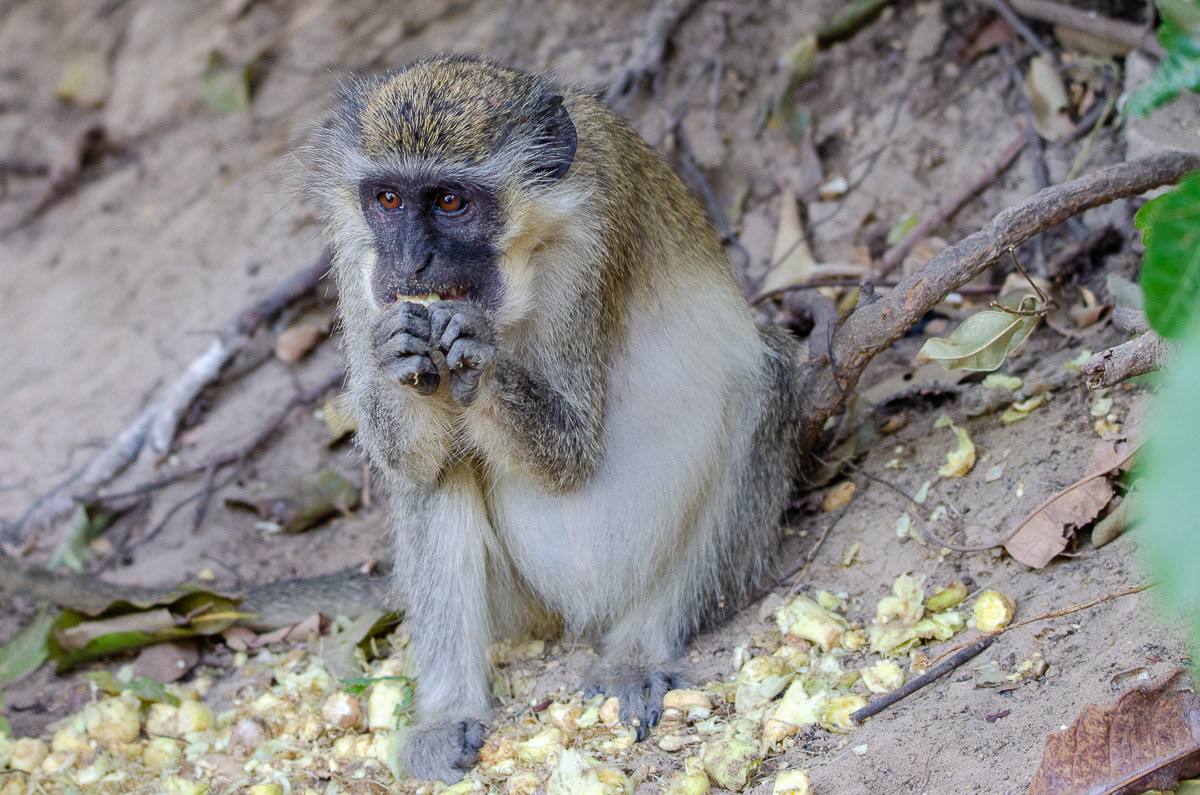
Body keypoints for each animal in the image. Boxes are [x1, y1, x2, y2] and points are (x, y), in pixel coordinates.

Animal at [306, 55, 804, 784]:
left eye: (451, 202)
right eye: (389, 200)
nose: (411, 262)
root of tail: (577, 617)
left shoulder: (597, 229)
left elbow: (573, 453)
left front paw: (474, 350)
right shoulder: (356, 255)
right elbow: (413, 460)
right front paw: (402, 348)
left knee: (764, 385)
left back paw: (635, 652)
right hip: (518, 602)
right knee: (438, 473)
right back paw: (450, 712)